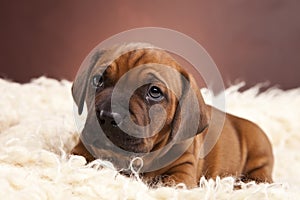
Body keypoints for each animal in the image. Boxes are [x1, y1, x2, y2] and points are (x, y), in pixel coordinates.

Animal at [71, 42, 274, 188]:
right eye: (98, 80)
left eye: (154, 92)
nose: (107, 115)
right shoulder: (81, 150)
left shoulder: (183, 171)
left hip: (259, 157)